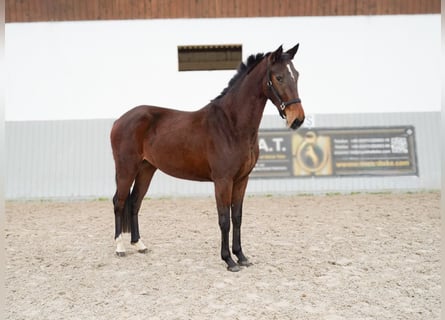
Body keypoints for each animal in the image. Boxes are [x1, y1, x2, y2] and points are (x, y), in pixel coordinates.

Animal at [111, 43, 306, 272]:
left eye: (296, 75)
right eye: (279, 77)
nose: (298, 119)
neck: (231, 124)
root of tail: (119, 120)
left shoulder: (242, 180)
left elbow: (237, 217)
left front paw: (241, 256)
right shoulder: (223, 181)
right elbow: (224, 220)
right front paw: (229, 260)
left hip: (146, 169)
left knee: (135, 202)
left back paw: (140, 244)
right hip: (126, 169)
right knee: (119, 202)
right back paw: (120, 248)